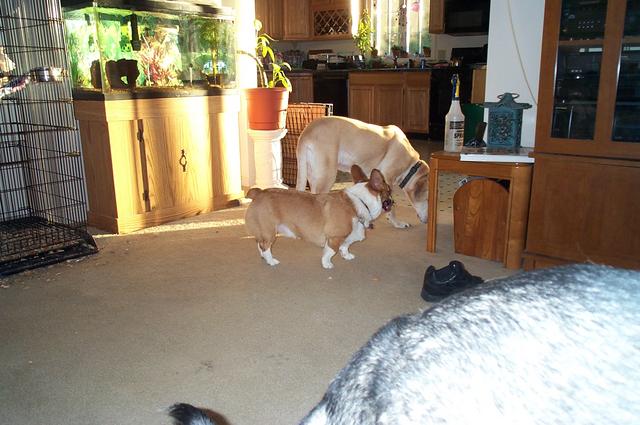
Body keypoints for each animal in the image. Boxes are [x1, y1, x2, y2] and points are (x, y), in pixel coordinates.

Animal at [244, 165, 393, 269]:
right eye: (389, 190)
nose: (393, 201)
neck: (361, 201)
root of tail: (258, 193)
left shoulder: (348, 237)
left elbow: (345, 247)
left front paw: (347, 256)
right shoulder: (334, 238)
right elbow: (330, 252)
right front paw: (327, 264)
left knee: (260, 245)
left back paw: (264, 258)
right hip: (270, 232)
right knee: (265, 246)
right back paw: (271, 261)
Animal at [295, 116, 429, 228]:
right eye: (428, 199)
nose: (428, 220)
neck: (411, 166)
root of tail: (306, 132)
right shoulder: (387, 179)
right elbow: (391, 208)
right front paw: (397, 223)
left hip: (311, 175)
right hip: (327, 175)